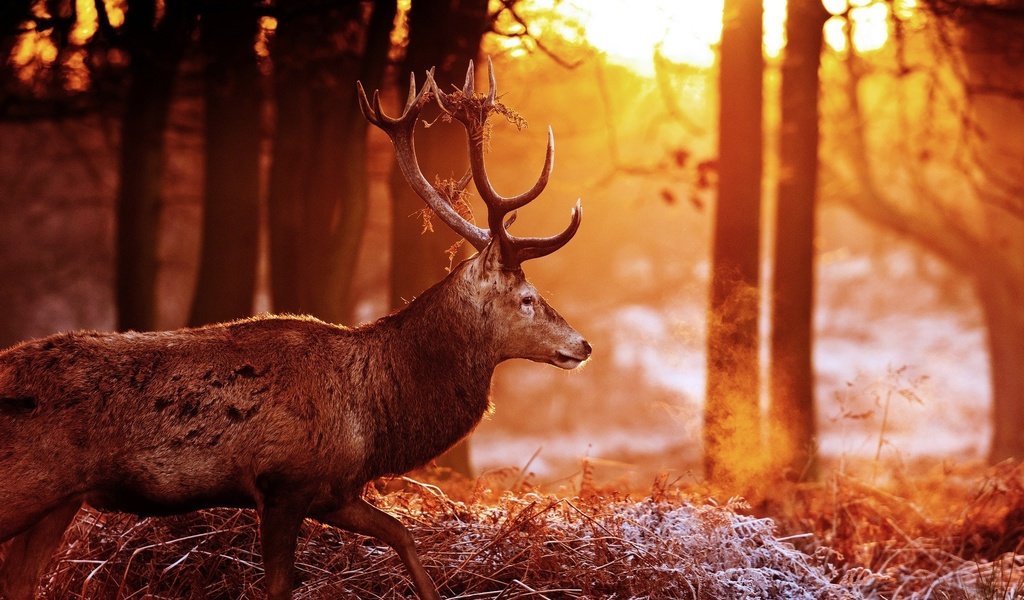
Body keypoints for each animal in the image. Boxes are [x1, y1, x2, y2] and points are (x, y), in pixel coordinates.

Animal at [0, 59, 589, 597]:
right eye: (528, 299)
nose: (582, 345)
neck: (374, 416)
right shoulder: (284, 481)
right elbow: (282, 585)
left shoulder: (334, 487)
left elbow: (402, 534)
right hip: (25, 484)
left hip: (59, 502)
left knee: (21, 582)